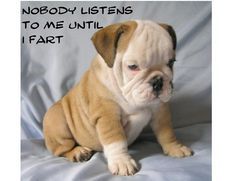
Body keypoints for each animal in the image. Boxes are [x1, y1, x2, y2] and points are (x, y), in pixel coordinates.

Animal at [43, 19, 193, 175]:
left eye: (171, 63)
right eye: (133, 66)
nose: (157, 81)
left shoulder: (160, 110)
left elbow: (166, 131)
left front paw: (175, 147)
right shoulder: (108, 115)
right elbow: (116, 141)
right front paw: (122, 161)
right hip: (57, 120)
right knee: (61, 150)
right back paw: (78, 152)